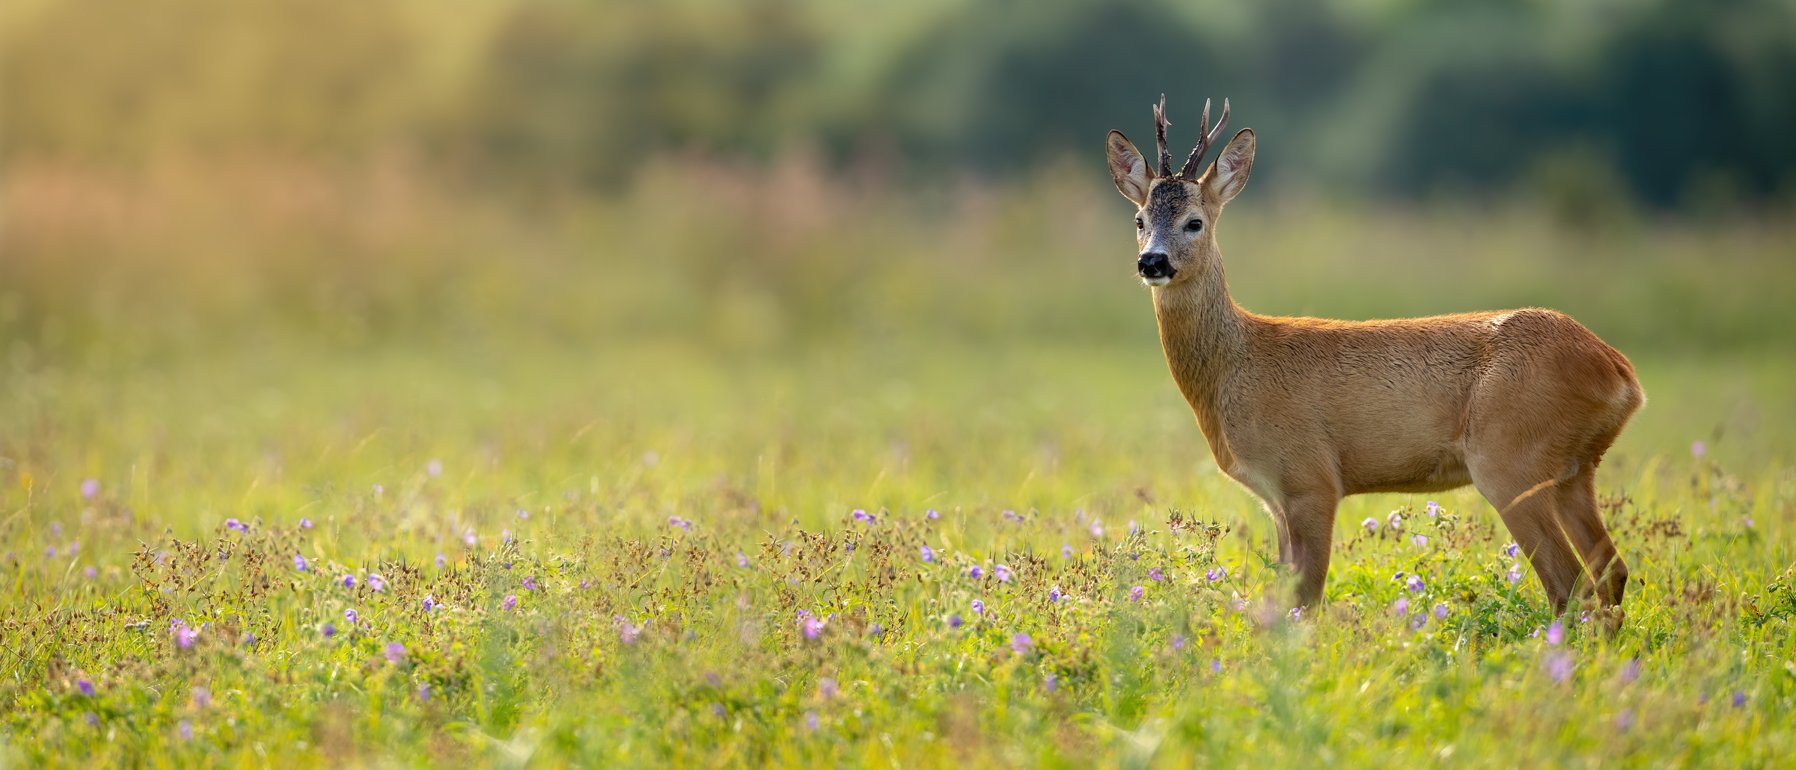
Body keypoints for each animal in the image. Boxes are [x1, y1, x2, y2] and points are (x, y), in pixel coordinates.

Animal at [1104, 96, 1643, 619]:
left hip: (1511, 458)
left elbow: (1306, 600)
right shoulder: (1277, 498)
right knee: (1611, 573)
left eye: (1194, 222)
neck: (1237, 366)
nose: (1152, 261)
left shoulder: (1312, 478)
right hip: (1575, 469)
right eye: (1139, 220)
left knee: (1569, 583)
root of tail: (1622, 374)